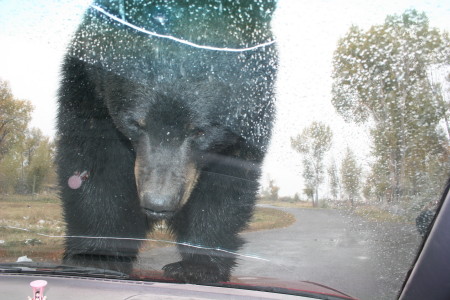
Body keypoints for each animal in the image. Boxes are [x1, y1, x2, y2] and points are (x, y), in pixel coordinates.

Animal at [58, 0, 276, 282]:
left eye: (200, 131)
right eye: (135, 123)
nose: (158, 203)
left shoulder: (249, 121)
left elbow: (225, 185)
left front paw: (199, 266)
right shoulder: (87, 92)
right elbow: (96, 167)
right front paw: (95, 258)